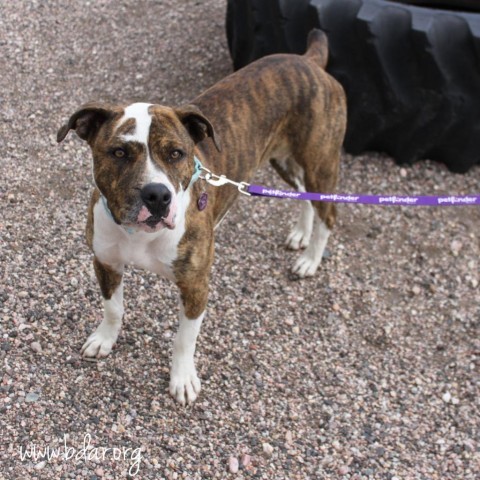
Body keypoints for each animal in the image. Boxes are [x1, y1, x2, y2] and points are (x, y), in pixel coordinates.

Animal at [57, 30, 344, 404]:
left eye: (177, 154)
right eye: (119, 152)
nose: (157, 195)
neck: (140, 234)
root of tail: (309, 60)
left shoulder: (196, 285)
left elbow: (184, 339)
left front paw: (182, 380)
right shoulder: (106, 262)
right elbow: (113, 308)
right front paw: (105, 339)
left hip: (320, 163)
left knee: (328, 211)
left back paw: (311, 258)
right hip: (283, 159)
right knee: (303, 195)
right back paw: (300, 234)